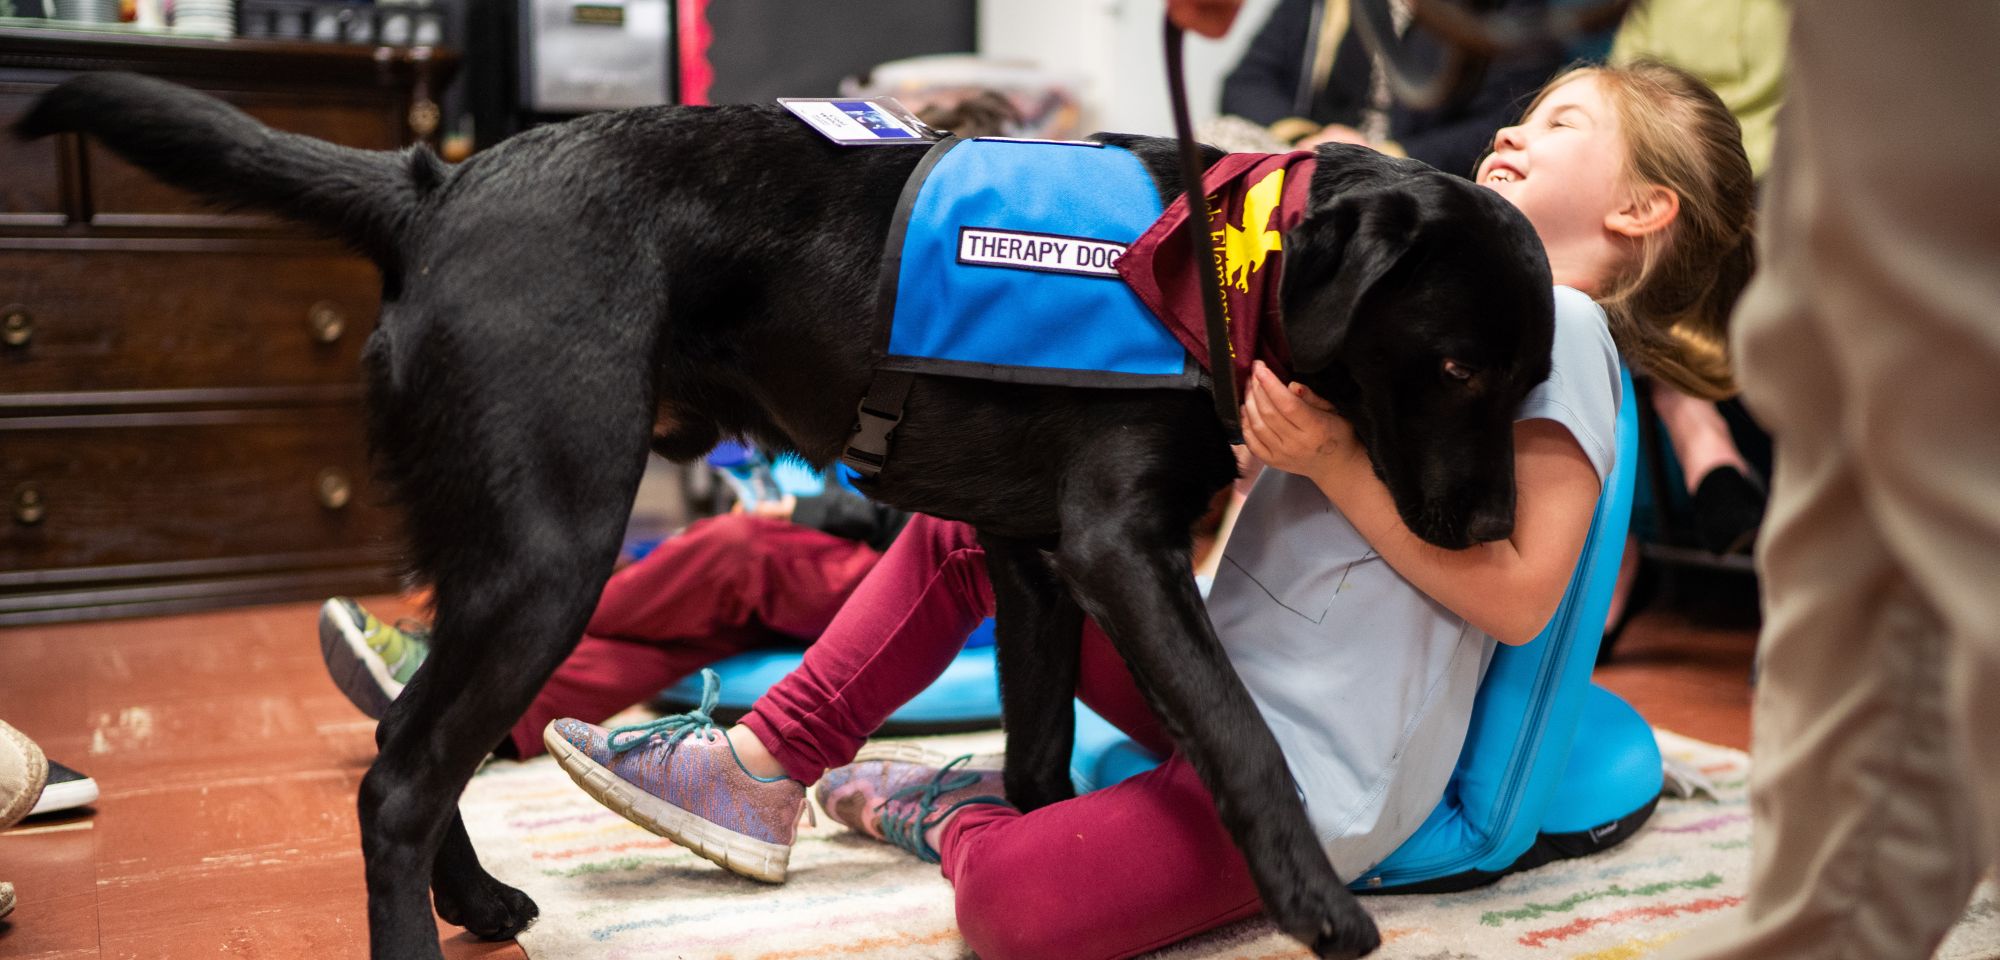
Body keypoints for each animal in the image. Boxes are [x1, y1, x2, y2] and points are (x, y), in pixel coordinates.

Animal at [15, 73, 1552, 960]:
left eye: (1531, 379)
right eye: (1457, 367)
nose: (1487, 536)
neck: (1211, 271)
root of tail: (437, 187)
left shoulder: (1034, 563)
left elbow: (1042, 756)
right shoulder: (1121, 551)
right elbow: (1239, 735)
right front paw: (1317, 906)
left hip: (492, 547)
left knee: (411, 741)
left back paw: (481, 905)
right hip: (553, 547)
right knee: (398, 776)